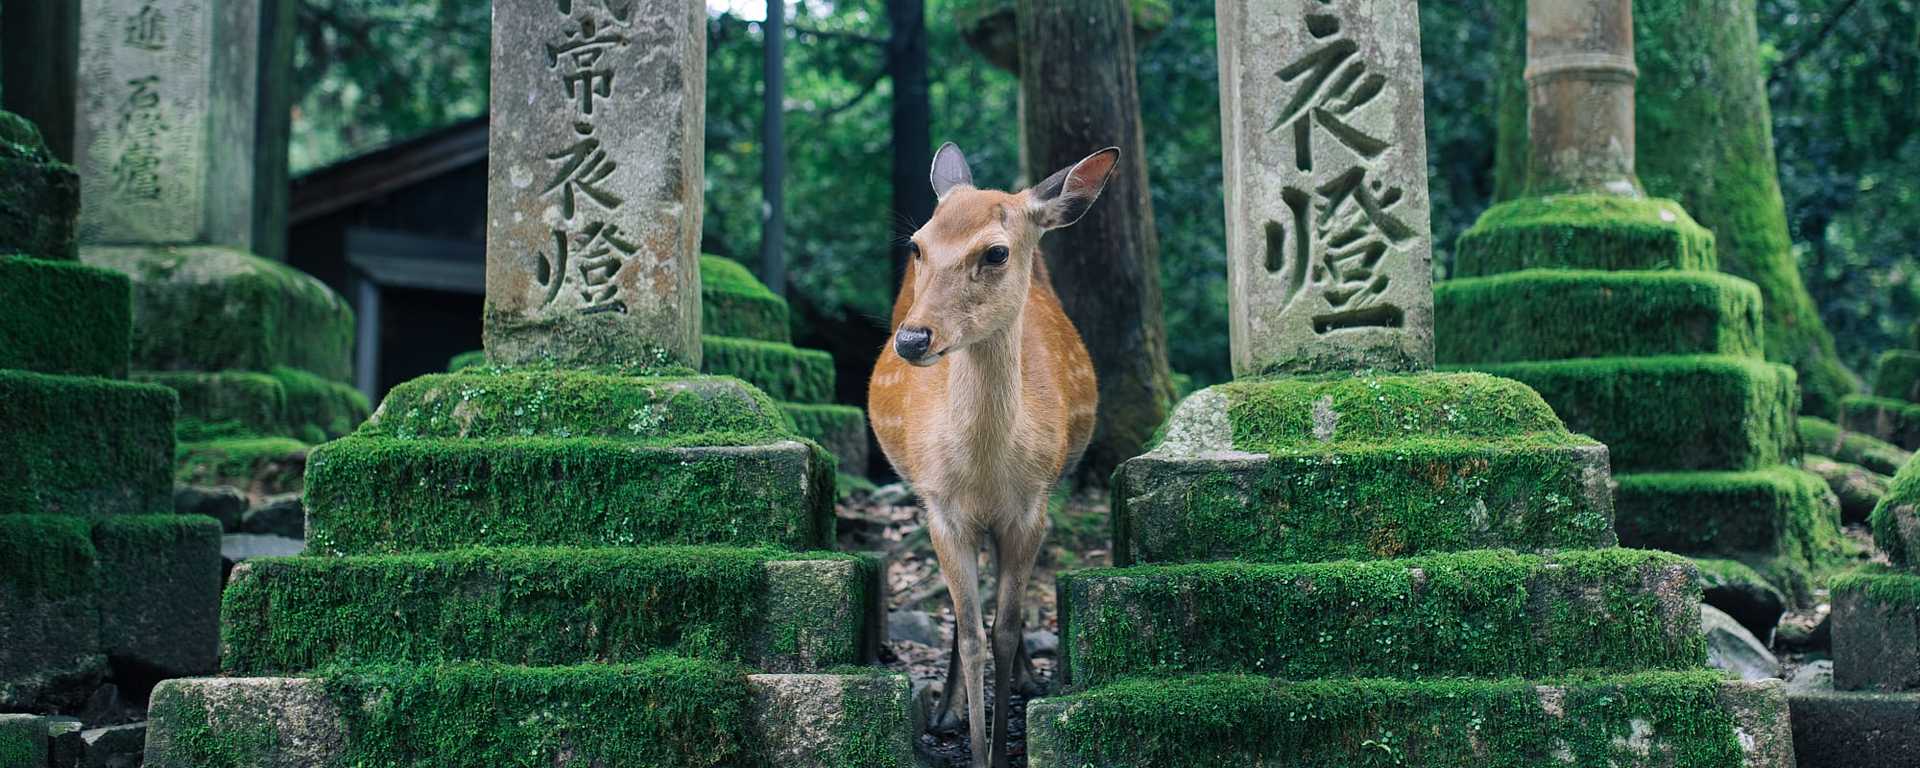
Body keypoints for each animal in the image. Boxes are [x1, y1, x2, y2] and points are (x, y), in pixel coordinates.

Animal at [867, 144, 1113, 768]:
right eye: (917, 245)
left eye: (997, 251)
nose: (912, 340)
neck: (983, 471)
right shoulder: (941, 507)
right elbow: (974, 632)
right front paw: (971, 740)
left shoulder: (1031, 507)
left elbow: (1004, 628)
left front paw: (1004, 742)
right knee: (963, 617)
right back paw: (945, 709)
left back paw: (1026, 678)